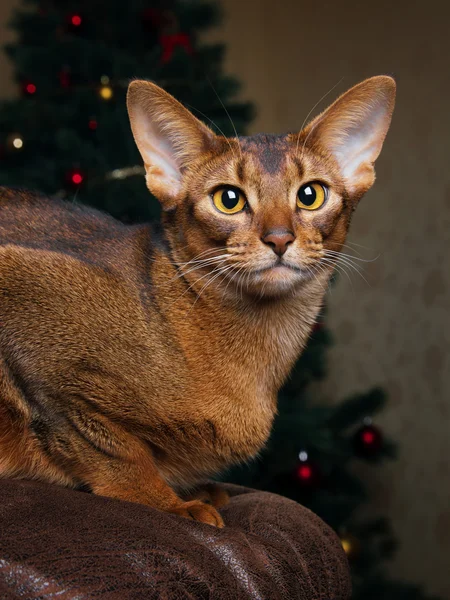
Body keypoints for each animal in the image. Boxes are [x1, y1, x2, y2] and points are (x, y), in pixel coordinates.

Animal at [0, 74, 394, 524]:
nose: (279, 239)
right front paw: (171, 504)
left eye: (310, 195)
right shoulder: (25, 298)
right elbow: (118, 451)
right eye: (229, 199)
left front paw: (195, 490)